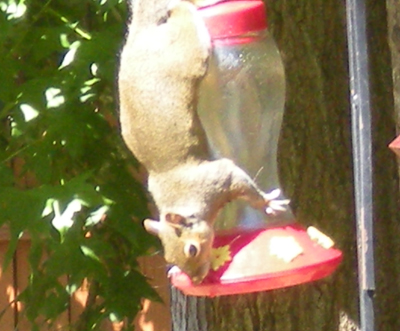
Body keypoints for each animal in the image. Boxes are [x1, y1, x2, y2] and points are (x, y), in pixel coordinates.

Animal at [117, 0, 290, 286]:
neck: (180, 196)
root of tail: (141, 34)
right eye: (169, 256)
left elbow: (245, 187)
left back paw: (187, 7)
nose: (196, 278)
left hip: (190, 51)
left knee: (185, 20)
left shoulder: (217, 178)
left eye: (192, 249)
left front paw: (267, 203)